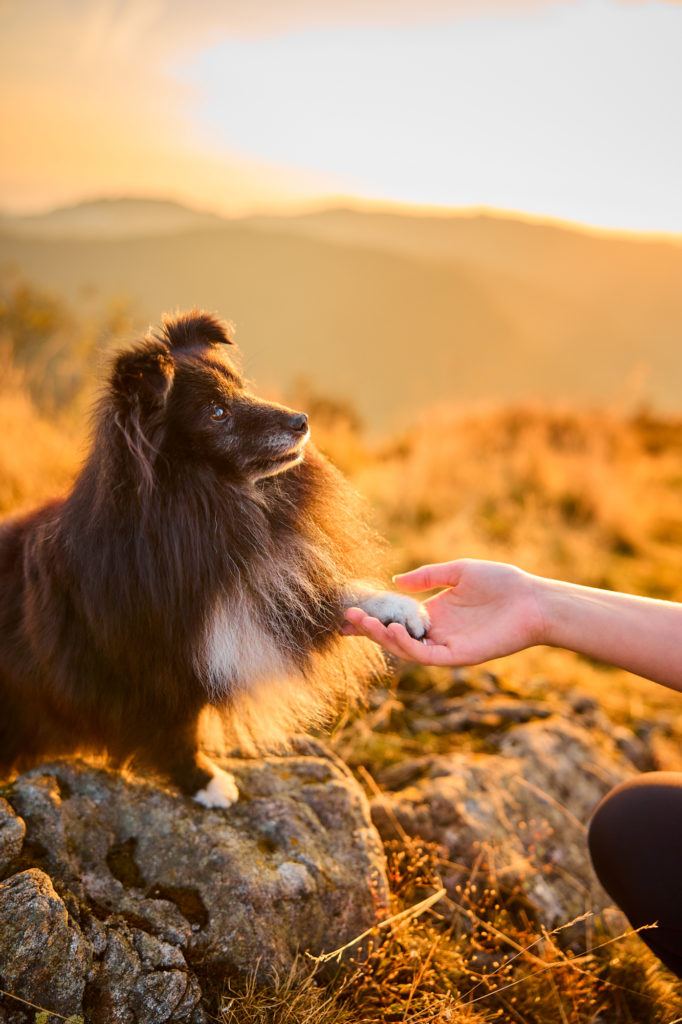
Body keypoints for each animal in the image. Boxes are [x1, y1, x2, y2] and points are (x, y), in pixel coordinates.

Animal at [0, 311, 425, 806]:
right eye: (217, 412)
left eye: (240, 387)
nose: (301, 420)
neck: (212, 508)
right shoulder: (151, 668)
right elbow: (173, 731)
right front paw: (204, 782)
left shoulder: (261, 597)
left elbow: (342, 594)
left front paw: (403, 609)